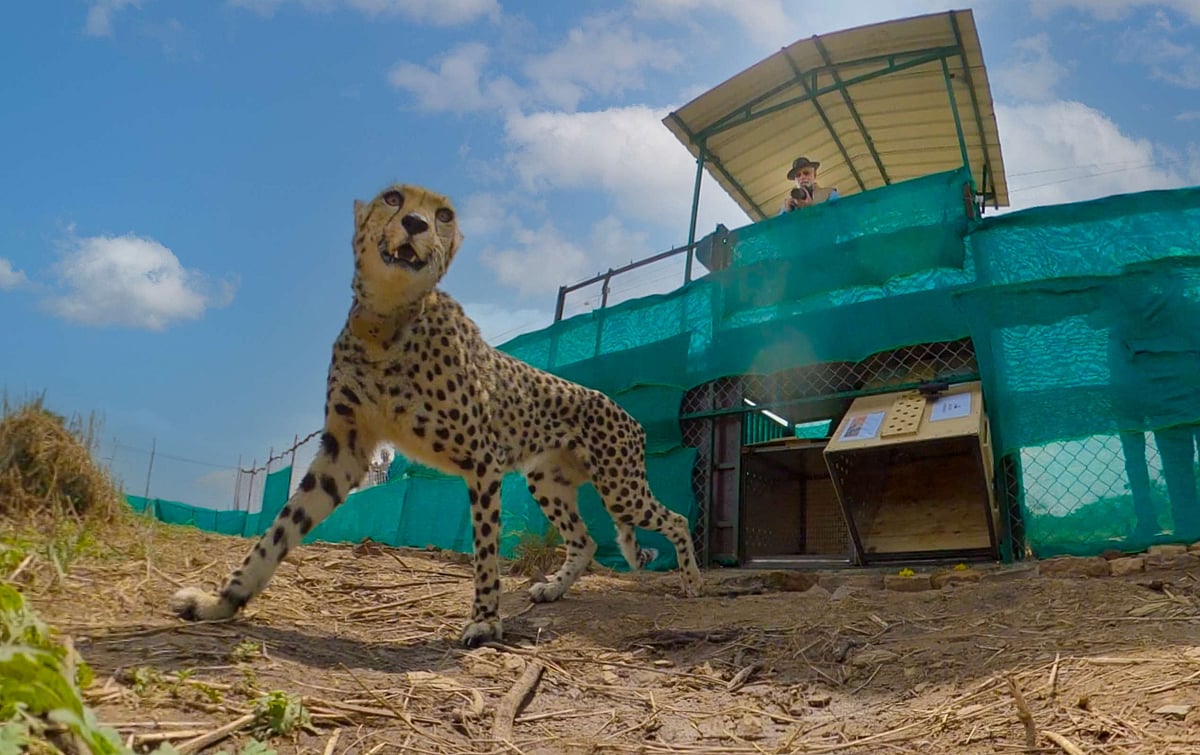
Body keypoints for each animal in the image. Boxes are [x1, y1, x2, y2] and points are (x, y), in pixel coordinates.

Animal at [168, 183, 703, 647]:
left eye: (442, 214)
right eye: (392, 199)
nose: (415, 223)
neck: (386, 321)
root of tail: (624, 410)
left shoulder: (483, 461)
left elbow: (485, 549)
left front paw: (485, 622)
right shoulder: (346, 450)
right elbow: (278, 531)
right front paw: (221, 602)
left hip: (619, 488)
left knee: (676, 518)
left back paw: (693, 582)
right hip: (547, 481)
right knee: (587, 541)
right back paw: (554, 587)